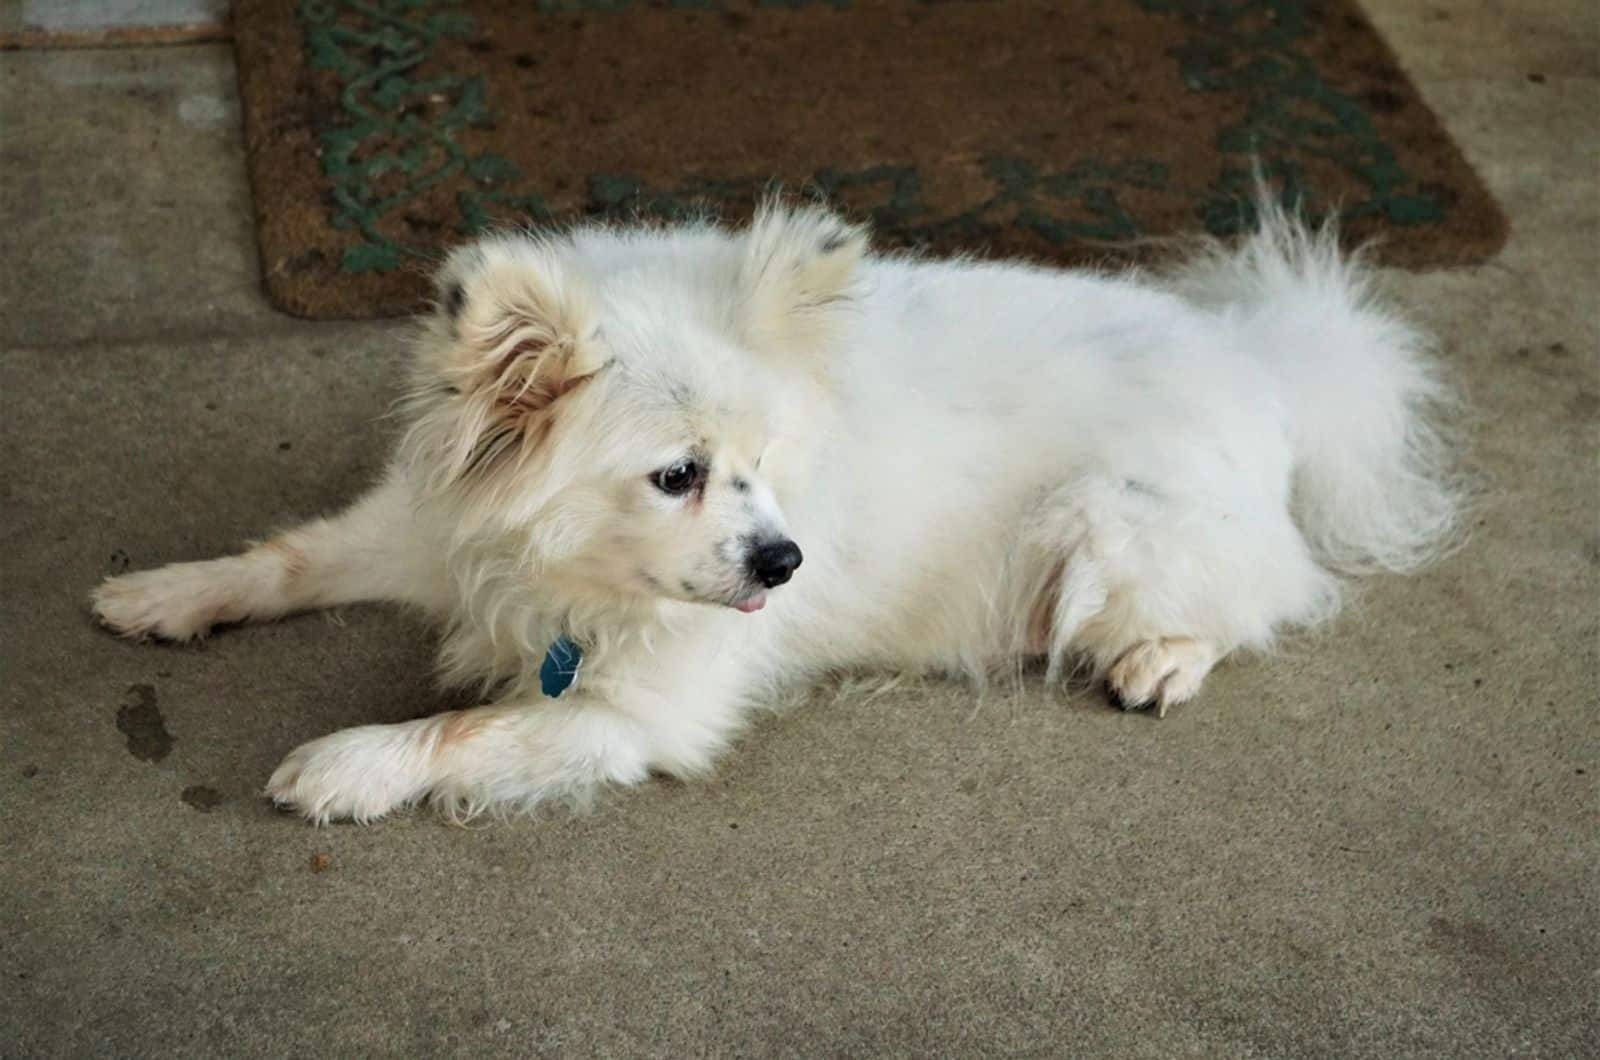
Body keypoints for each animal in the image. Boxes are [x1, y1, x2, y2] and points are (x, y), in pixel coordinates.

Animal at [87, 201, 1465, 832]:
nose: (786, 559)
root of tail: (1267, 359)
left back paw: (1160, 658)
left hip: (1110, 533)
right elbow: (288, 555)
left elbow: (460, 729)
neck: (563, 575)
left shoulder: (632, 716)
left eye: (764, 461)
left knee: (1262, 593)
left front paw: (347, 763)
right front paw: (167, 593)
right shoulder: (427, 525)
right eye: (678, 474)